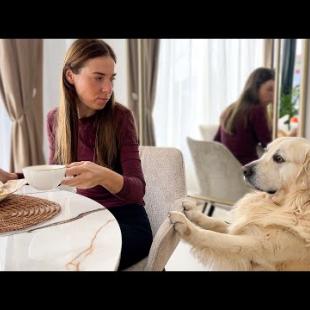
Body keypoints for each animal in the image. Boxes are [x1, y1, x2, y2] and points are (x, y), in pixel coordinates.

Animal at [170, 137, 310, 270]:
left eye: (278, 158)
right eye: (266, 151)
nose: (244, 169)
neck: (295, 204)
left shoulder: (259, 247)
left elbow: (215, 238)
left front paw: (187, 227)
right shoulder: (243, 227)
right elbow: (216, 222)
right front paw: (192, 212)